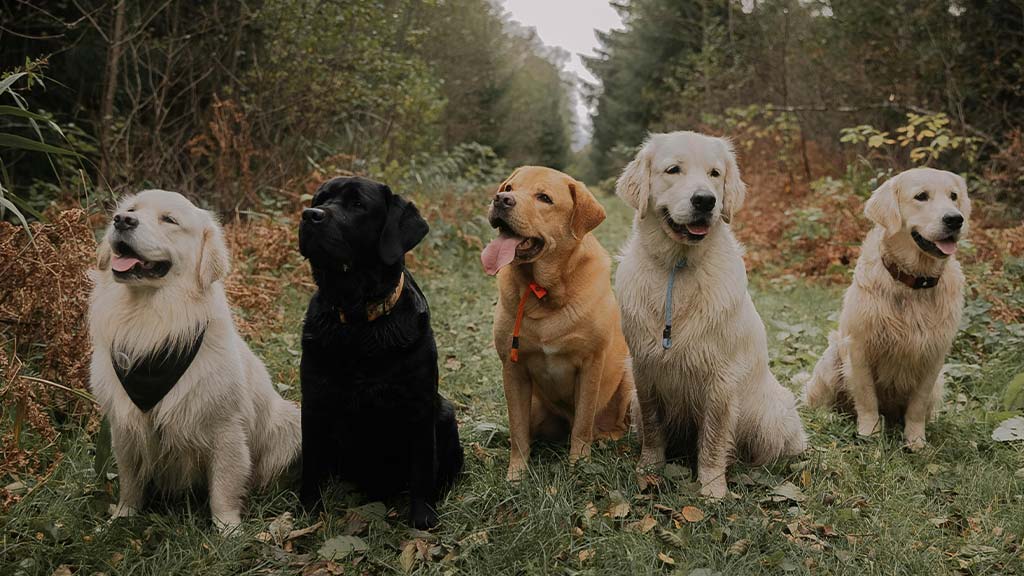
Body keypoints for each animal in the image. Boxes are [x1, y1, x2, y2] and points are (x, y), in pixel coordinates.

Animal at [89, 190, 299, 532]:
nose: (122, 221)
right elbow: (130, 480)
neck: (152, 319)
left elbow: (224, 487)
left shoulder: (226, 428)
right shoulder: (125, 427)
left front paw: (228, 530)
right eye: (131, 210)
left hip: (289, 423)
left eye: (169, 220)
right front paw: (123, 516)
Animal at [296, 174, 464, 524]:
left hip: (444, 412)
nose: (309, 215)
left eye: (358, 204)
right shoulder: (314, 401)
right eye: (320, 199)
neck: (358, 320)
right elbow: (311, 465)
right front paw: (308, 511)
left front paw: (422, 519)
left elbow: (422, 469)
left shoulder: (419, 405)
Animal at [483, 165, 634, 479]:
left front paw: (578, 465)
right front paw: (517, 474)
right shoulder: (513, 369)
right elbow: (518, 430)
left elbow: (583, 423)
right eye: (510, 188)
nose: (501, 199)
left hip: (629, 378)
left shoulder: (591, 364)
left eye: (544, 198)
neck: (543, 294)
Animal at [614, 132, 806, 496]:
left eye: (715, 173)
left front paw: (713, 489)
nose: (705, 201)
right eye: (673, 170)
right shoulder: (644, 370)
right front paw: (648, 469)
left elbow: (715, 439)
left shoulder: (721, 377)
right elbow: (653, 426)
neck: (678, 267)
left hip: (771, 414)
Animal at [806, 167, 966, 448]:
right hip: (832, 359)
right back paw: (827, 417)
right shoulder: (859, 348)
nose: (955, 220)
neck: (913, 283)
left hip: (939, 383)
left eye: (953, 196)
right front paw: (869, 433)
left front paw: (916, 441)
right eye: (921, 196)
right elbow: (867, 397)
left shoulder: (933, 357)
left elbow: (917, 405)